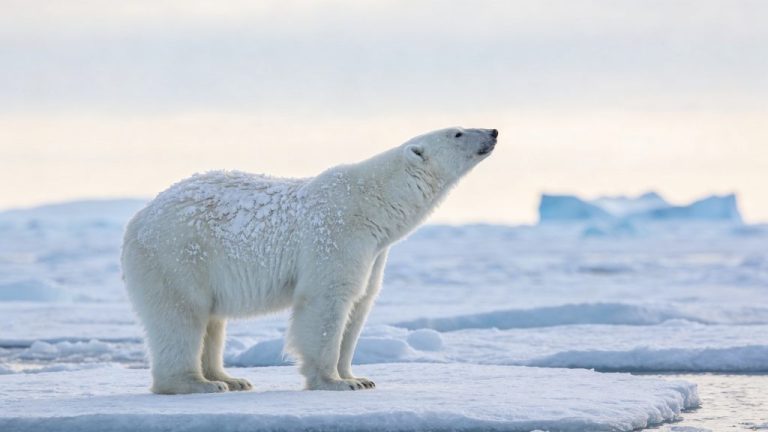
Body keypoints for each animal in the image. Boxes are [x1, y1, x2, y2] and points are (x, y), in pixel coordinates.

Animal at [121, 127, 498, 394]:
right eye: (457, 132)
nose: (493, 131)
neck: (373, 201)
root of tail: (137, 219)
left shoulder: (374, 252)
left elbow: (359, 303)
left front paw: (359, 377)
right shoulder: (337, 234)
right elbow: (327, 301)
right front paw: (335, 381)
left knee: (212, 322)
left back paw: (231, 379)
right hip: (179, 254)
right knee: (182, 315)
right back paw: (197, 383)